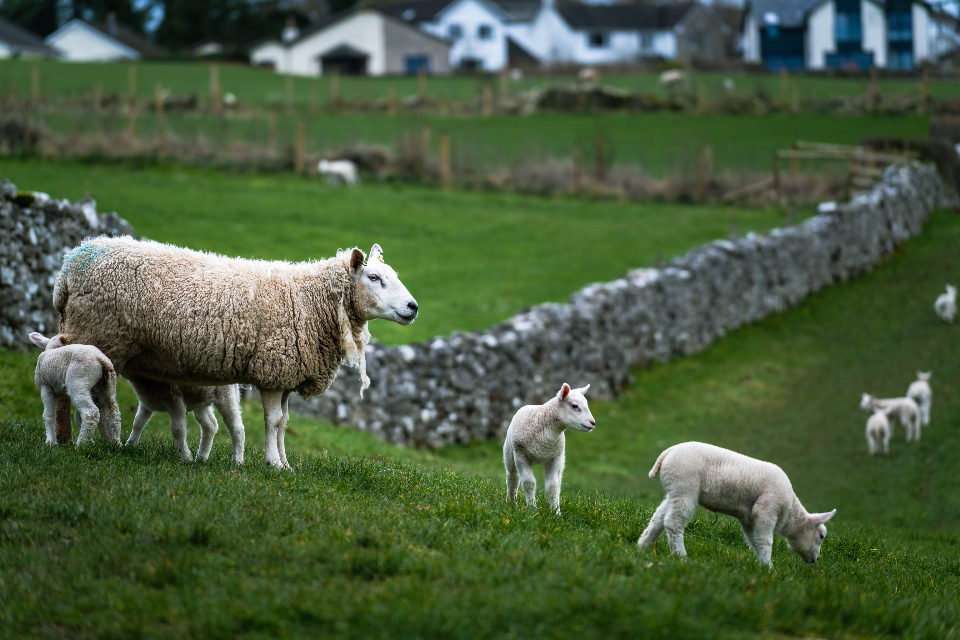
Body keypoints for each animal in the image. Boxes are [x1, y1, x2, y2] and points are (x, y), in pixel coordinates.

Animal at [54, 238, 418, 469]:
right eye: (374, 277)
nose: (413, 307)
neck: (310, 300)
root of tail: (70, 264)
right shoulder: (272, 370)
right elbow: (273, 421)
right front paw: (273, 464)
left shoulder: (286, 375)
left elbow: (284, 423)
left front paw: (285, 463)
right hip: (95, 337)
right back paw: (82, 442)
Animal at [503, 383, 595, 515]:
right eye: (574, 406)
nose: (593, 423)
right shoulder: (521, 456)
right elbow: (529, 483)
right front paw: (532, 509)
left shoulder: (554, 458)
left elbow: (552, 487)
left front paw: (555, 512)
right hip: (510, 453)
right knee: (512, 478)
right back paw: (511, 503)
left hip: (561, 459)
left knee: (558, 483)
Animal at [638, 442, 836, 567]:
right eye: (821, 536)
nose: (816, 560)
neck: (789, 512)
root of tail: (667, 453)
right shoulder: (766, 509)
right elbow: (766, 541)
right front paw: (769, 569)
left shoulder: (748, 519)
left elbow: (754, 540)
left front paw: (762, 566)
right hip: (684, 486)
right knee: (673, 522)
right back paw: (680, 556)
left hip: (675, 490)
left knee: (659, 518)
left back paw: (643, 545)